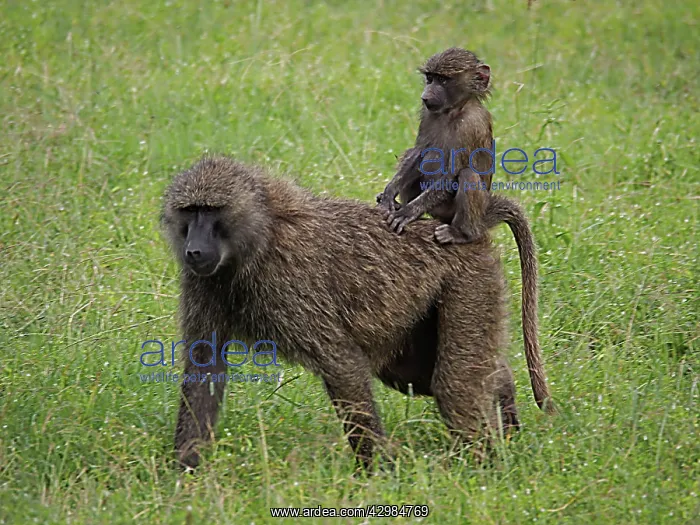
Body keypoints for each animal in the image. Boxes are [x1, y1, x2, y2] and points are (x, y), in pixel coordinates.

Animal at [162, 156, 554, 470]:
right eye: (190, 211)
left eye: (210, 211)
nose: (194, 250)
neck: (259, 234)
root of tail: (466, 228)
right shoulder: (202, 283)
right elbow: (204, 367)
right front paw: (185, 475)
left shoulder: (290, 282)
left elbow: (342, 364)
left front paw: (378, 473)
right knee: (425, 377)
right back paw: (506, 403)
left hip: (470, 283)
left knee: (453, 387)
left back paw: (489, 464)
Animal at [376, 47, 494, 245]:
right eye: (430, 78)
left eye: (443, 80)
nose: (425, 96)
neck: (453, 111)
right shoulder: (427, 115)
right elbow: (418, 152)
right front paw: (389, 194)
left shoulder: (471, 125)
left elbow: (452, 174)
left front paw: (408, 212)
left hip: (452, 210)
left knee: (467, 175)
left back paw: (461, 234)